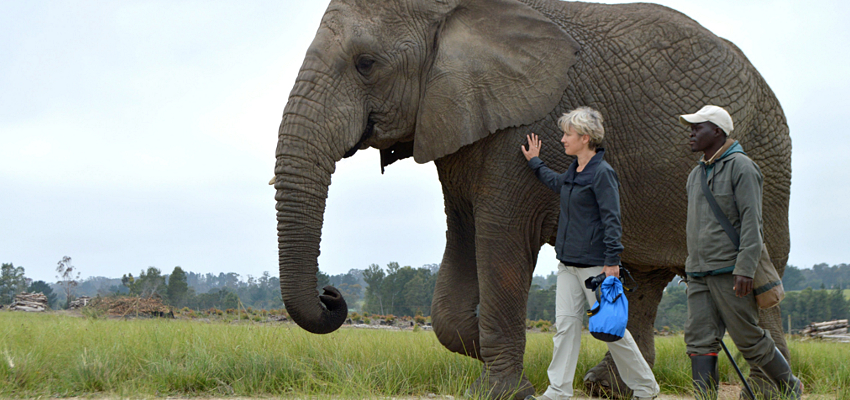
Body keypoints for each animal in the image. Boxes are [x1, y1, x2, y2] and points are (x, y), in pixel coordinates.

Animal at [273, 0, 791, 399]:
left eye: (366, 64)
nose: (332, 294)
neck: (454, 14)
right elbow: (457, 264)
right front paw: (502, 368)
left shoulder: (519, 128)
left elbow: (501, 242)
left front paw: (502, 391)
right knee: (643, 280)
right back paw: (609, 386)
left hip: (767, 160)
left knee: (758, 279)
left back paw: (771, 389)